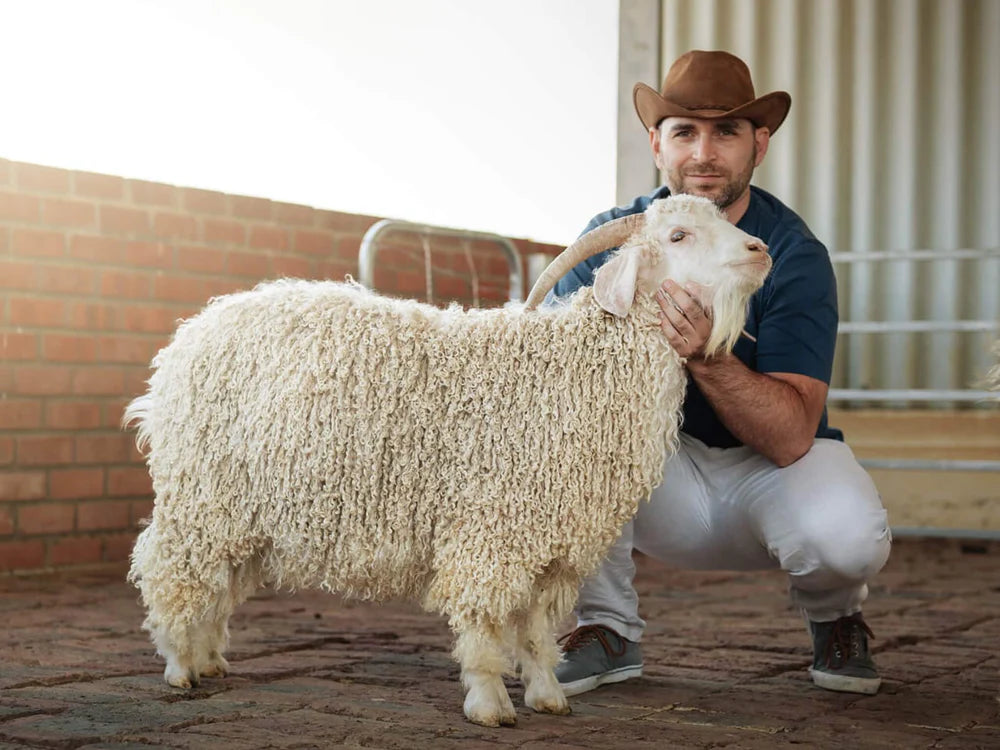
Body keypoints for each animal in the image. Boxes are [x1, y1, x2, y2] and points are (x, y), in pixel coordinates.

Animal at [124, 194, 771, 727]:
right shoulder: (492, 530)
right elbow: (484, 621)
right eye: (679, 235)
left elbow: (537, 630)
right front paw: (490, 704)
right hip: (202, 493)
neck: (571, 369)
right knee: (172, 570)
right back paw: (179, 666)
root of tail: (192, 334)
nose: (759, 251)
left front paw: (546, 696)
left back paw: (209, 659)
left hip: (245, 509)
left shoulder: (553, 546)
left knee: (219, 580)